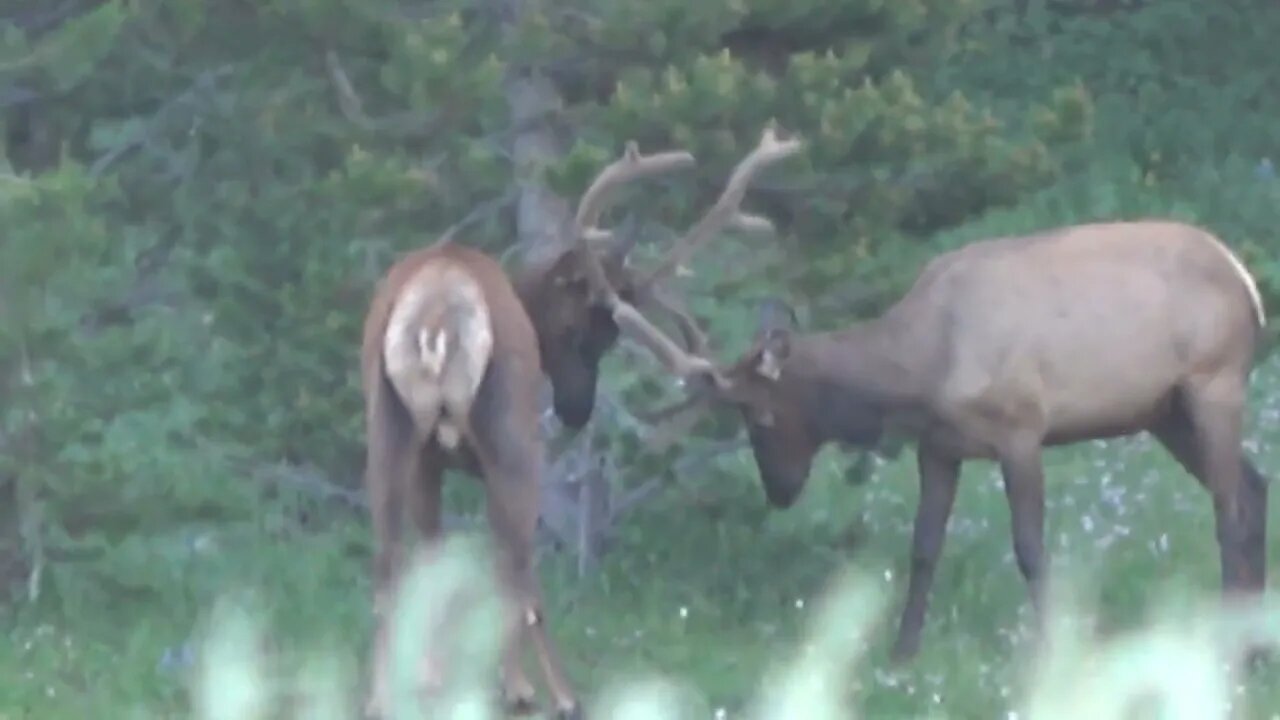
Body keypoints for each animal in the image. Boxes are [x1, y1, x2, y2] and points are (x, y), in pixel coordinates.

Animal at [358, 126, 798, 712]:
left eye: (610, 336)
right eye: (583, 331)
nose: (575, 409)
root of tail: (436, 314)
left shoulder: (432, 465)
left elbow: (434, 568)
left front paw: (433, 678)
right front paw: (527, 689)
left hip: (388, 428)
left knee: (389, 563)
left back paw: (383, 695)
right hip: (510, 432)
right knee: (519, 566)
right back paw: (539, 692)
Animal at [604, 217, 1274, 661]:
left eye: (760, 416)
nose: (780, 492)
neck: (923, 369)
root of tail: (1249, 286)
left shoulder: (1021, 430)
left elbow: (1030, 549)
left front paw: (1050, 651)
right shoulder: (939, 447)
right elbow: (924, 547)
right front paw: (902, 654)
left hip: (1213, 382)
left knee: (1230, 508)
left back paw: (1236, 644)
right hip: (1164, 412)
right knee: (1255, 485)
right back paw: (1255, 636)